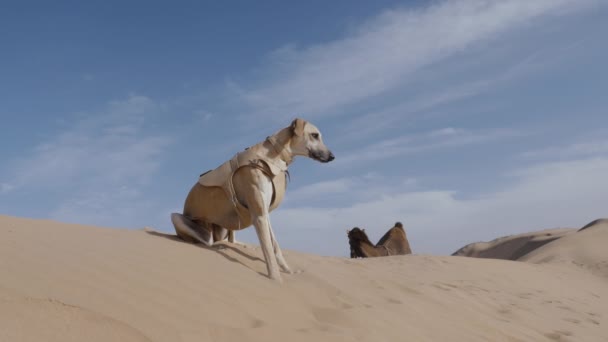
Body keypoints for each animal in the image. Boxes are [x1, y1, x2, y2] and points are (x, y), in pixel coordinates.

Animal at [169, 117, 334, 280]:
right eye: (315, 135)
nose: (332, 156)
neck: (271, 155)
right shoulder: (259, 215)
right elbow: (268, 250)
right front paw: (276, 279)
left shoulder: (264, 213)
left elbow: (275, 246)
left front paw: (288, 271)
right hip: (178, 218)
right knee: (207, 242)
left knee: (228, 239)